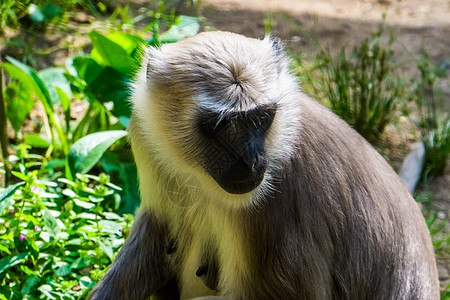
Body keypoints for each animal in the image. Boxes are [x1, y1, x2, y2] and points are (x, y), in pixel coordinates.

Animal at [86, 31, 438, 300]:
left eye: (261, 118)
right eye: (219, 126)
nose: (252, 159)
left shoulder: (273, 205)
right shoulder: (146, 135)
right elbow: (156, 235)